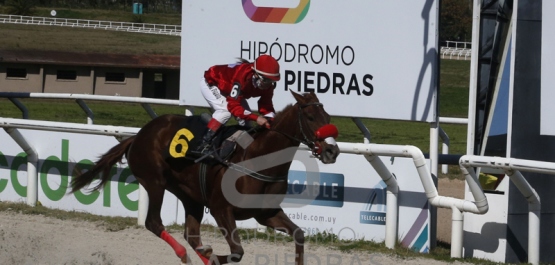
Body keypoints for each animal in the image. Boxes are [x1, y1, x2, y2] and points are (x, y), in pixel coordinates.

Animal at [69, 91, 338, 264]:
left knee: (191, 234)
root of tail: (139, 135)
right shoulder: (221, 209)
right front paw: (212, 255)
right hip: (154, 181)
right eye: (311, 118)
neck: (258, 158)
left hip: (191, 196)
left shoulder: (266, 213)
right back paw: (189, 254)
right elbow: (237, 251)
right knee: (154, 223)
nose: (332, 151)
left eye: (328, 117)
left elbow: (299, 235)